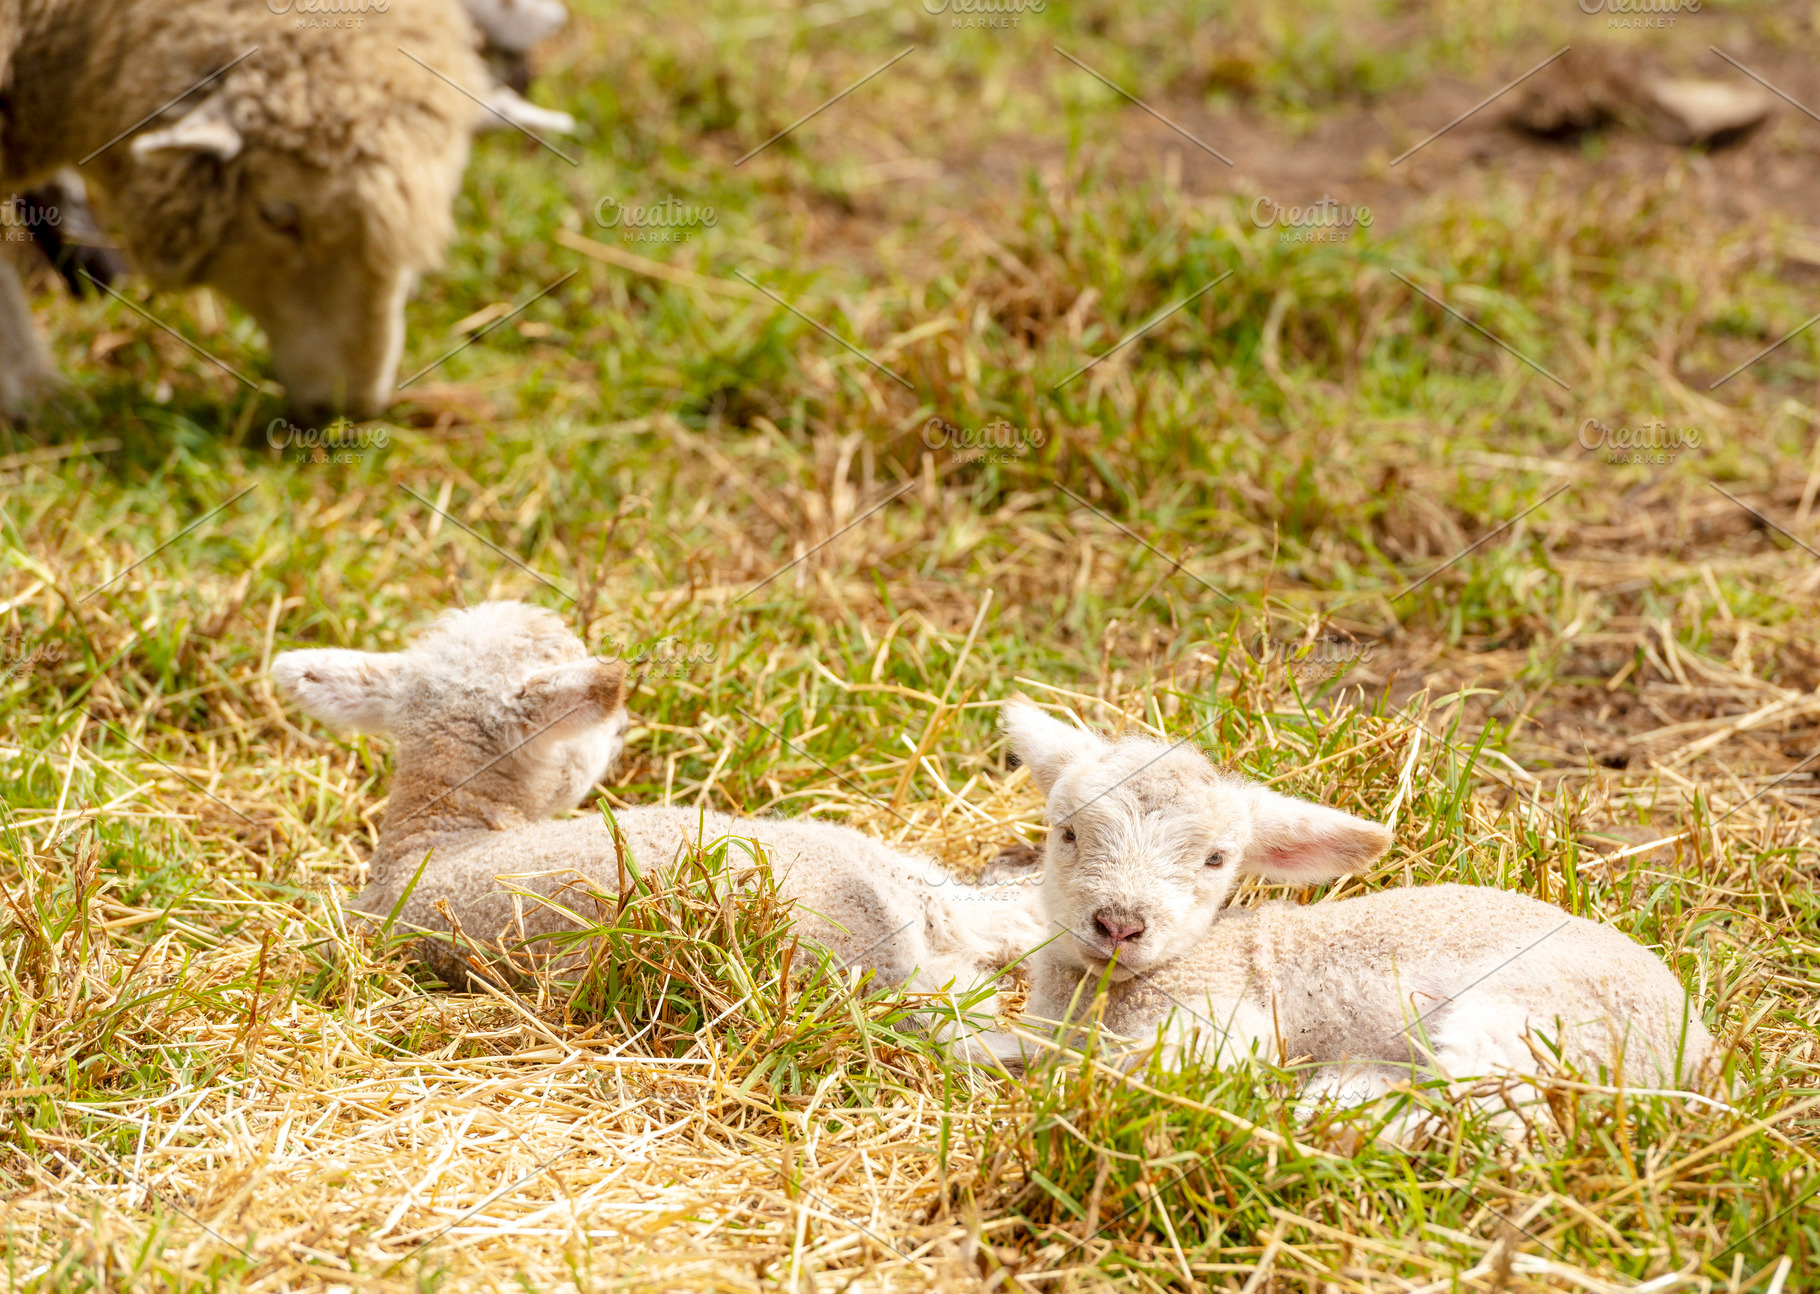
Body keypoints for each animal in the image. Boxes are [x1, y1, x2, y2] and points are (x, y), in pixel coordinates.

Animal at [997, 698, 1716, 1119]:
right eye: (1066, 832)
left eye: (1217, 860)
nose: (1119, 925)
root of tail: (1697, 1062)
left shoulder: (1219, 1021)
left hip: (1527, 1026)